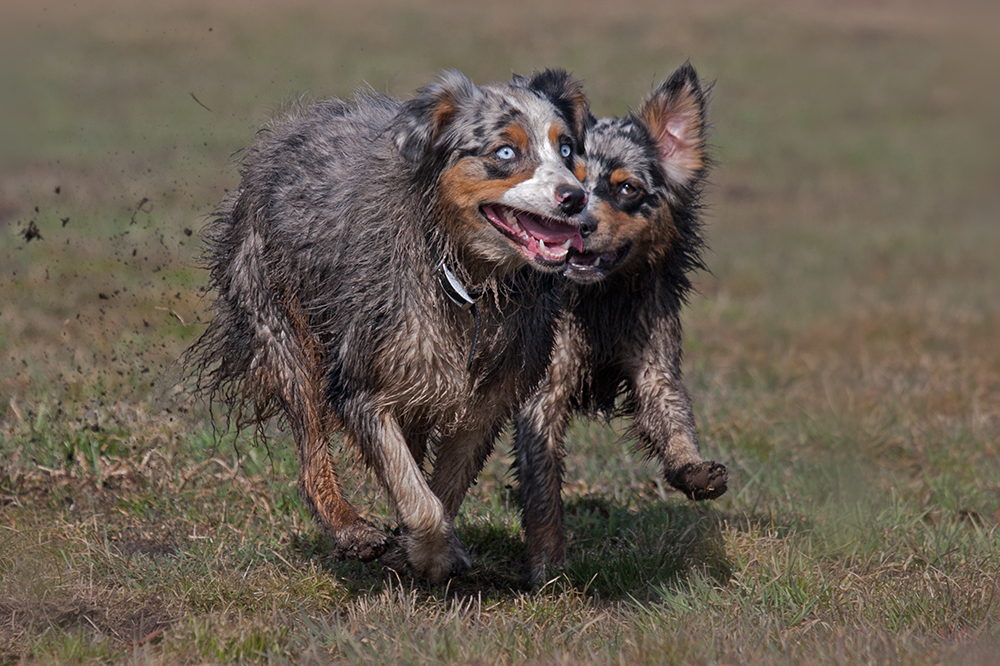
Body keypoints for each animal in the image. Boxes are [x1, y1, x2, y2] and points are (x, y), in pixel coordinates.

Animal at [189, 70, 592, 580]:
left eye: (566, 149)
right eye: (505, 152)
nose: (575, 197)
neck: (466, 276)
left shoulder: (491, 391)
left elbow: (442, 484)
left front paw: (416, 548)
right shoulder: (363, 379)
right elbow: (415, 493)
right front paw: (430, 552)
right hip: (281, 324)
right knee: (311, 450)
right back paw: (350, 528)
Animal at [516, 62, 728, 580]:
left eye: (627, 188)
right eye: (567, 184)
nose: (579, 223)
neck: (601, 298)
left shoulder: (654, 360)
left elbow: (673, 420)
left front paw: (694, 470)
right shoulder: (543, 388)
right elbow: (543, 487)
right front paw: (548, 564)